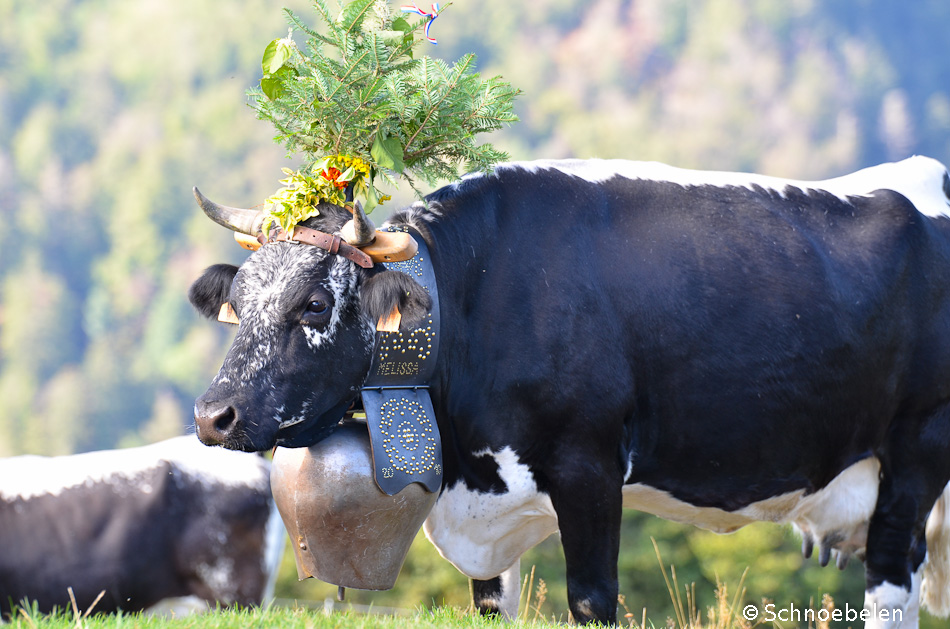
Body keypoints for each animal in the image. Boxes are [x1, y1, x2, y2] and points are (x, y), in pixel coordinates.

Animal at [188, 156, 950, 624]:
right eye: (240, 300)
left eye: (315, 304)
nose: (212, 414)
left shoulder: (590, 467)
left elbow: (591, 598)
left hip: (915, 456)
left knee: (892, 579)